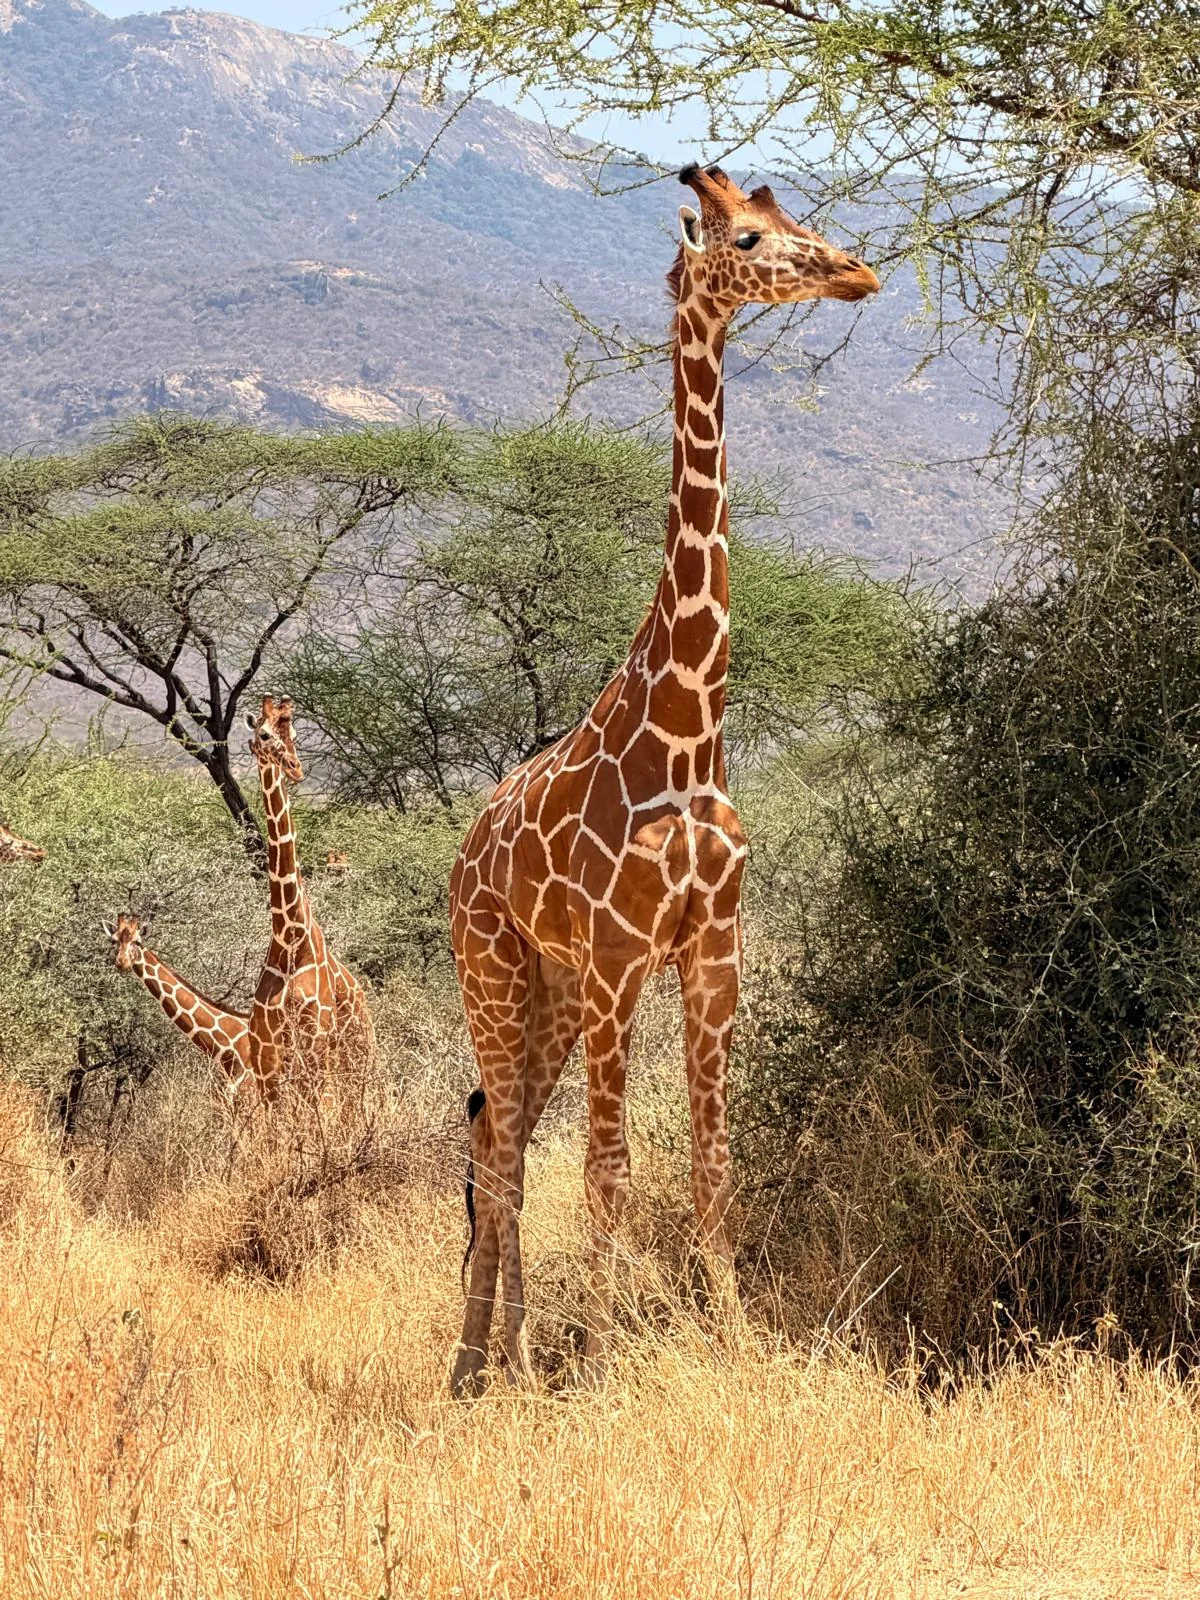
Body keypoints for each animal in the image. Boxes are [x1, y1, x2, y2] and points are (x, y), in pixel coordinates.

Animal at [244, 694, 375, 1101]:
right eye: (264, 734)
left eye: (295, 735)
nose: (295, 768)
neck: (289, 935)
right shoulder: (266, 1058)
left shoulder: (316, 1044)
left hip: (358, 1055)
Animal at [449, 164, 880, 1394]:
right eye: (748, 238)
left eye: (791, 216)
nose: (858, 271)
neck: (690, 733)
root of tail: (460, 857)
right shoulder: (616, 957)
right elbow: (609, 1173)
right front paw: (596, 1356)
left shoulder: (713, 946)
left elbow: (711, 1161)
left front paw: (732, 1342)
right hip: (496, 974)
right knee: (506, 1155)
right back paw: (503, 1364)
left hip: (544, 992)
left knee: (497, 1137)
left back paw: (483, 1363)